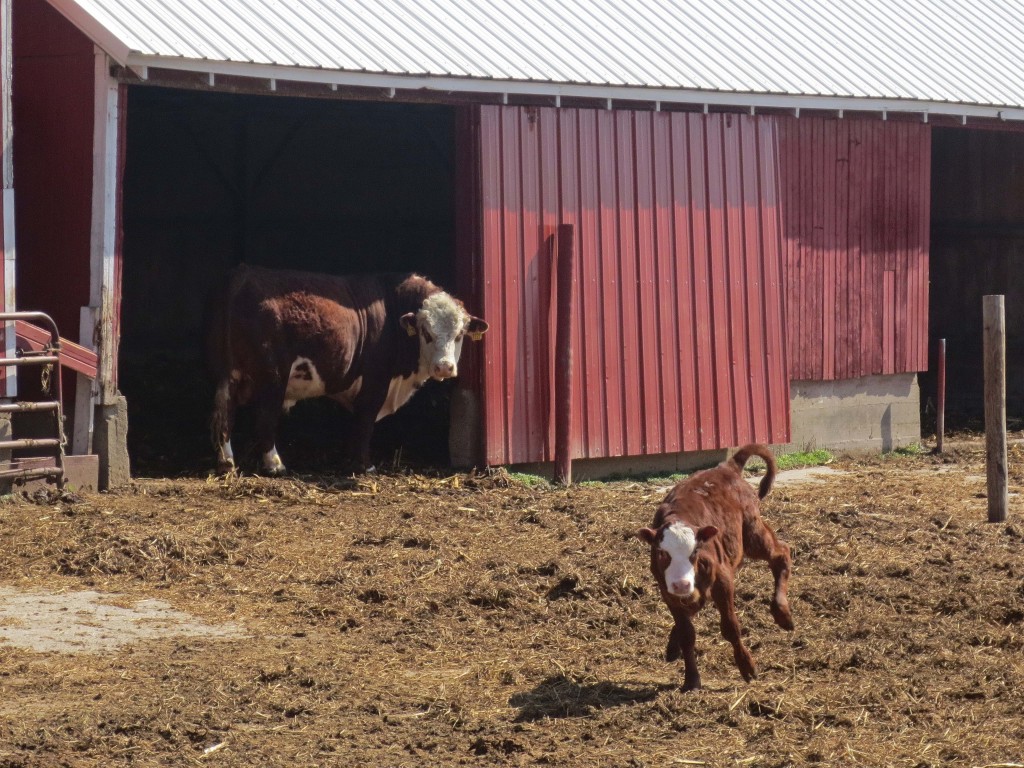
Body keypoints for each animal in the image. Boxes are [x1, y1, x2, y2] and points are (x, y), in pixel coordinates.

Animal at [207, 264, 487, 475]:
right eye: (426, 332)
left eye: (460, 334)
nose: (444, 367)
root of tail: (244, 273)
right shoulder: (376, 382)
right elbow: (364, 423)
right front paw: (365, 465)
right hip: (273, 377)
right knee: (264, 418)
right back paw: (275, 465)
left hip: (227, 372)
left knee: (223, 412)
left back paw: (227, 463)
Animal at [634, 444, 794, 692]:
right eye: (662, 553)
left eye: (695, 551)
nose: (681, 584)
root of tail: (727, 467)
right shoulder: (668, 591)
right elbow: (686, 633)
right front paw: (691, 679)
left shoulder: (722, 580)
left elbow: (730, 627)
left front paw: (747, 667)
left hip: (752, 534)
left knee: (781, 554)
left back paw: (782, 613)